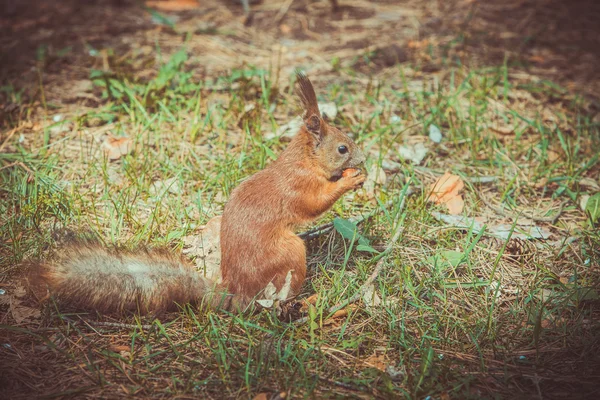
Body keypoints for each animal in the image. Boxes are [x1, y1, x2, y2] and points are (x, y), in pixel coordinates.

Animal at [30, 72, 368, 316]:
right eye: (342, 148)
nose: (363, 158)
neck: (302, 161)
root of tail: (236, 294)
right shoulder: (299, 186)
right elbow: (314, 204)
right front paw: (349, 181)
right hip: (290, 253)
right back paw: (303, 301)